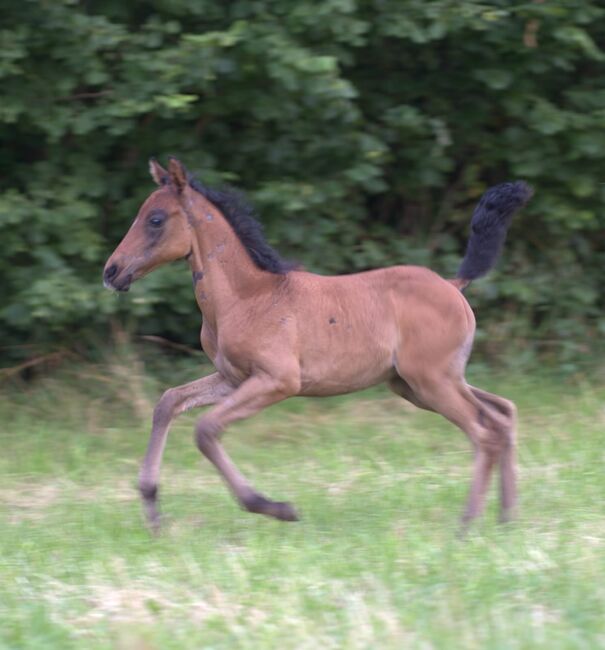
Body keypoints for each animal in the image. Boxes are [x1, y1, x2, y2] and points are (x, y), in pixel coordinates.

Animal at [105, 156, 532, 528]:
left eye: (156, 220)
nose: (111, 271)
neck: (247, 297)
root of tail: (453, 285)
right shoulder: (232, 378)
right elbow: (168, 402)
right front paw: (152, 507)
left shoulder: (278, 381)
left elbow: (206, 429)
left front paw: (274, 507)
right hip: (418, 383)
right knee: (502, 415)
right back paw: (507, 517)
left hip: (432, 381)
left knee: (483, 432)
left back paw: (467, 523)